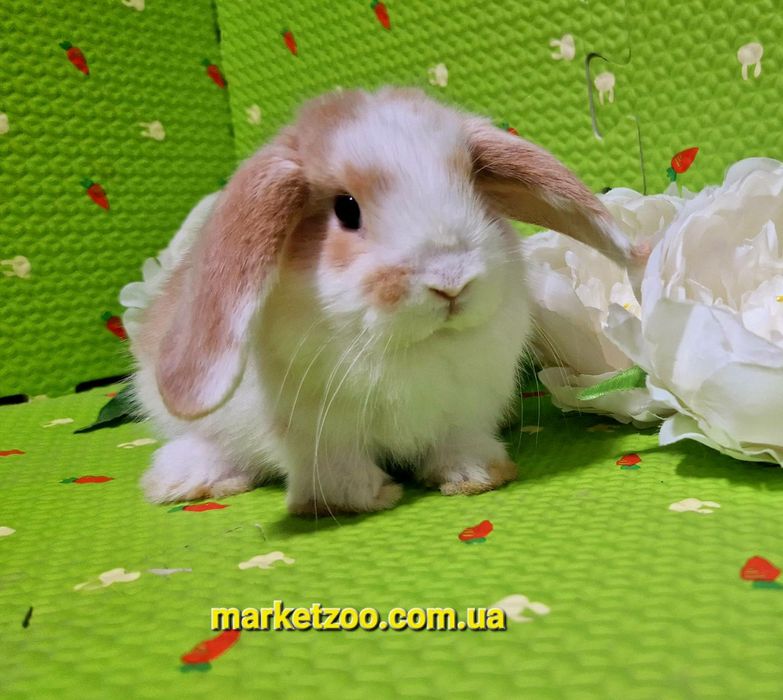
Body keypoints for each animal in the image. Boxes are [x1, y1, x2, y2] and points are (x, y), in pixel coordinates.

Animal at [130, 87, 642, 516]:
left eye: (474, 189)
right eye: (346, 208)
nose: (451, 280)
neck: (414, 347)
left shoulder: (465, 409)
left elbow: (458, 443)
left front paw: (476, 477)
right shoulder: (319, 432)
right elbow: (336, 471)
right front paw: (364, 498)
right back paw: (184, 481)